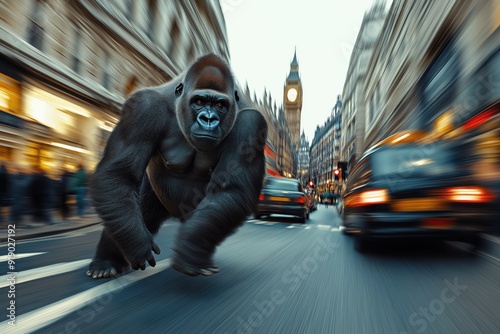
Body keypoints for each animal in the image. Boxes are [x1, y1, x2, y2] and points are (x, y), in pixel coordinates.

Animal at [86, 54, 268, 280]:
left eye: (220, 105)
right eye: (199, 102)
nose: (209, 119)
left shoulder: (252, 124)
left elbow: (232, 189)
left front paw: (191, 249)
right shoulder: (143, 108)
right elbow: (119, 174)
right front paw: (138, 245)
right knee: (125, 204)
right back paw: (106, 261)